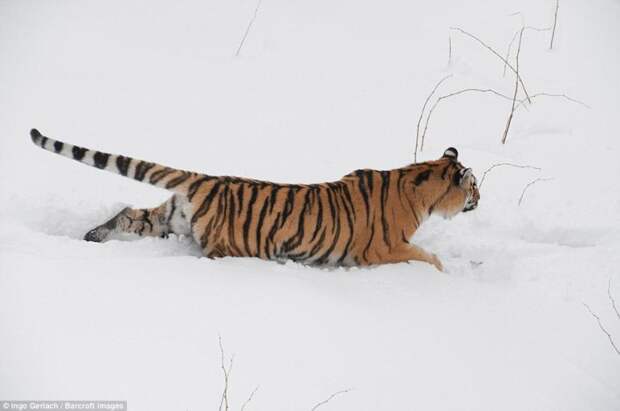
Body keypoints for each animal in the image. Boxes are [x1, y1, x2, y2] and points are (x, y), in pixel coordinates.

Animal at [29, 128, 480, 270]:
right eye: (474, 185)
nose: (480, 198)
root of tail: (206, 180)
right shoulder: (383, 249)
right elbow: (428, 257)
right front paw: (442, 273)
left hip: (166, 217)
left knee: (126, 213)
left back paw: (92, 236)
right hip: (225, 245)